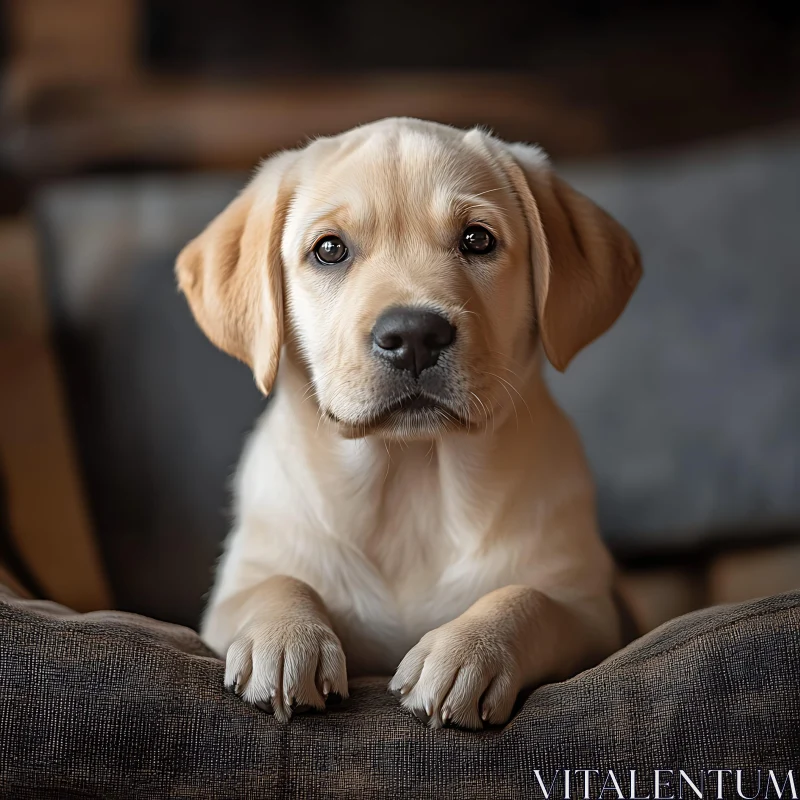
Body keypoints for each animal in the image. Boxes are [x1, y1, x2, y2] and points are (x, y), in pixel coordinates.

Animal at [177, 117, 644, 724]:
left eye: (477, 240)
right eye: (330, 249)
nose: (415, 335)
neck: (412, 479)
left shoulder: (592, 614)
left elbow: (529, 598)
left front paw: (468, 650)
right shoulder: (227, 600)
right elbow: (274, 582)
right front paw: (283, 637)